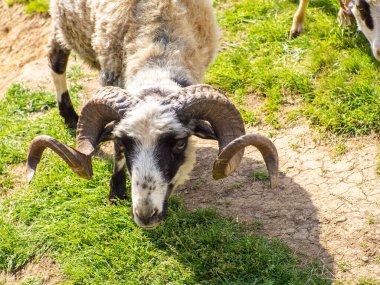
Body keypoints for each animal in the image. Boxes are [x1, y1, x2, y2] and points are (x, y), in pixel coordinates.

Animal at [27, 0, 280, 226]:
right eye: (123, 142)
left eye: (180, 143)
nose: (146, 215)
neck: (160, 49)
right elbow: (117, 157)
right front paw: (116, 194)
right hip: (65, 23)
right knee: (56, 58)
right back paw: (69, 115)